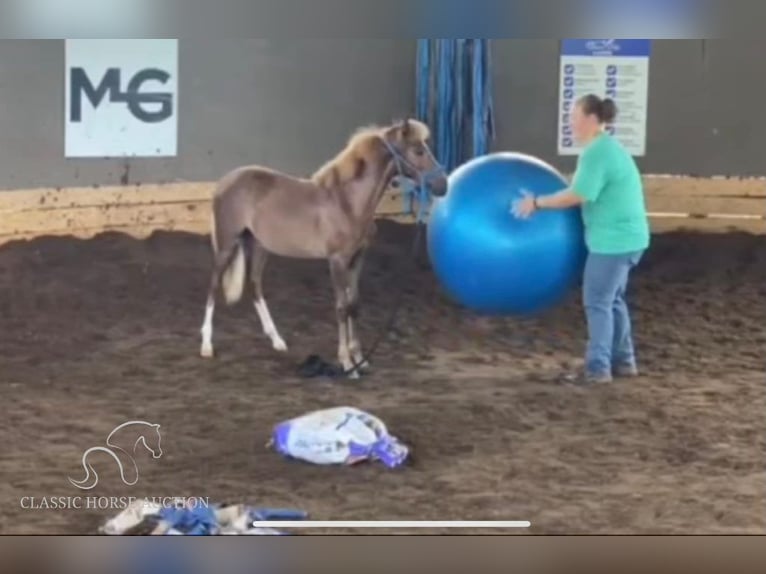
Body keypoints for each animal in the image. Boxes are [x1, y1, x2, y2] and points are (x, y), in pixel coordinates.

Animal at [200, 117, 450, 378]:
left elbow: (354, 304)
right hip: (227, 244)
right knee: (214, 285)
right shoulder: (337, 260)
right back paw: (207, 345)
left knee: (255, 284)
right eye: (418, 150)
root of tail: (225, 182)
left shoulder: (357, 259)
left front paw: (359, 358)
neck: (347, 202)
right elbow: (341, 307)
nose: (442, 184)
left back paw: (277, 340)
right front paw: (348, 364)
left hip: (259, 245)